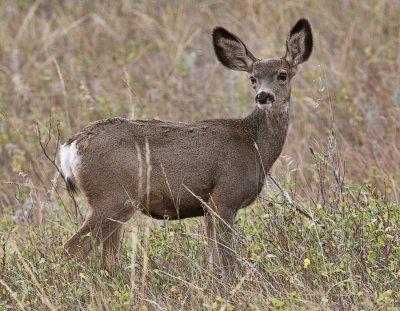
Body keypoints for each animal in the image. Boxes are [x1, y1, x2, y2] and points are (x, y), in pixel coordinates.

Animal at [59, 19, 312, 272]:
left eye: (282, 75)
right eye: (253, 78)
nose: (263, 96)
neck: (253, 144)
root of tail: (71, 146)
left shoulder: (208, 208)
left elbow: (213, 260)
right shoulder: (224, 197)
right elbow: (226, 260)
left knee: (107, 260)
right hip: (112, 196)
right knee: (72, 249)